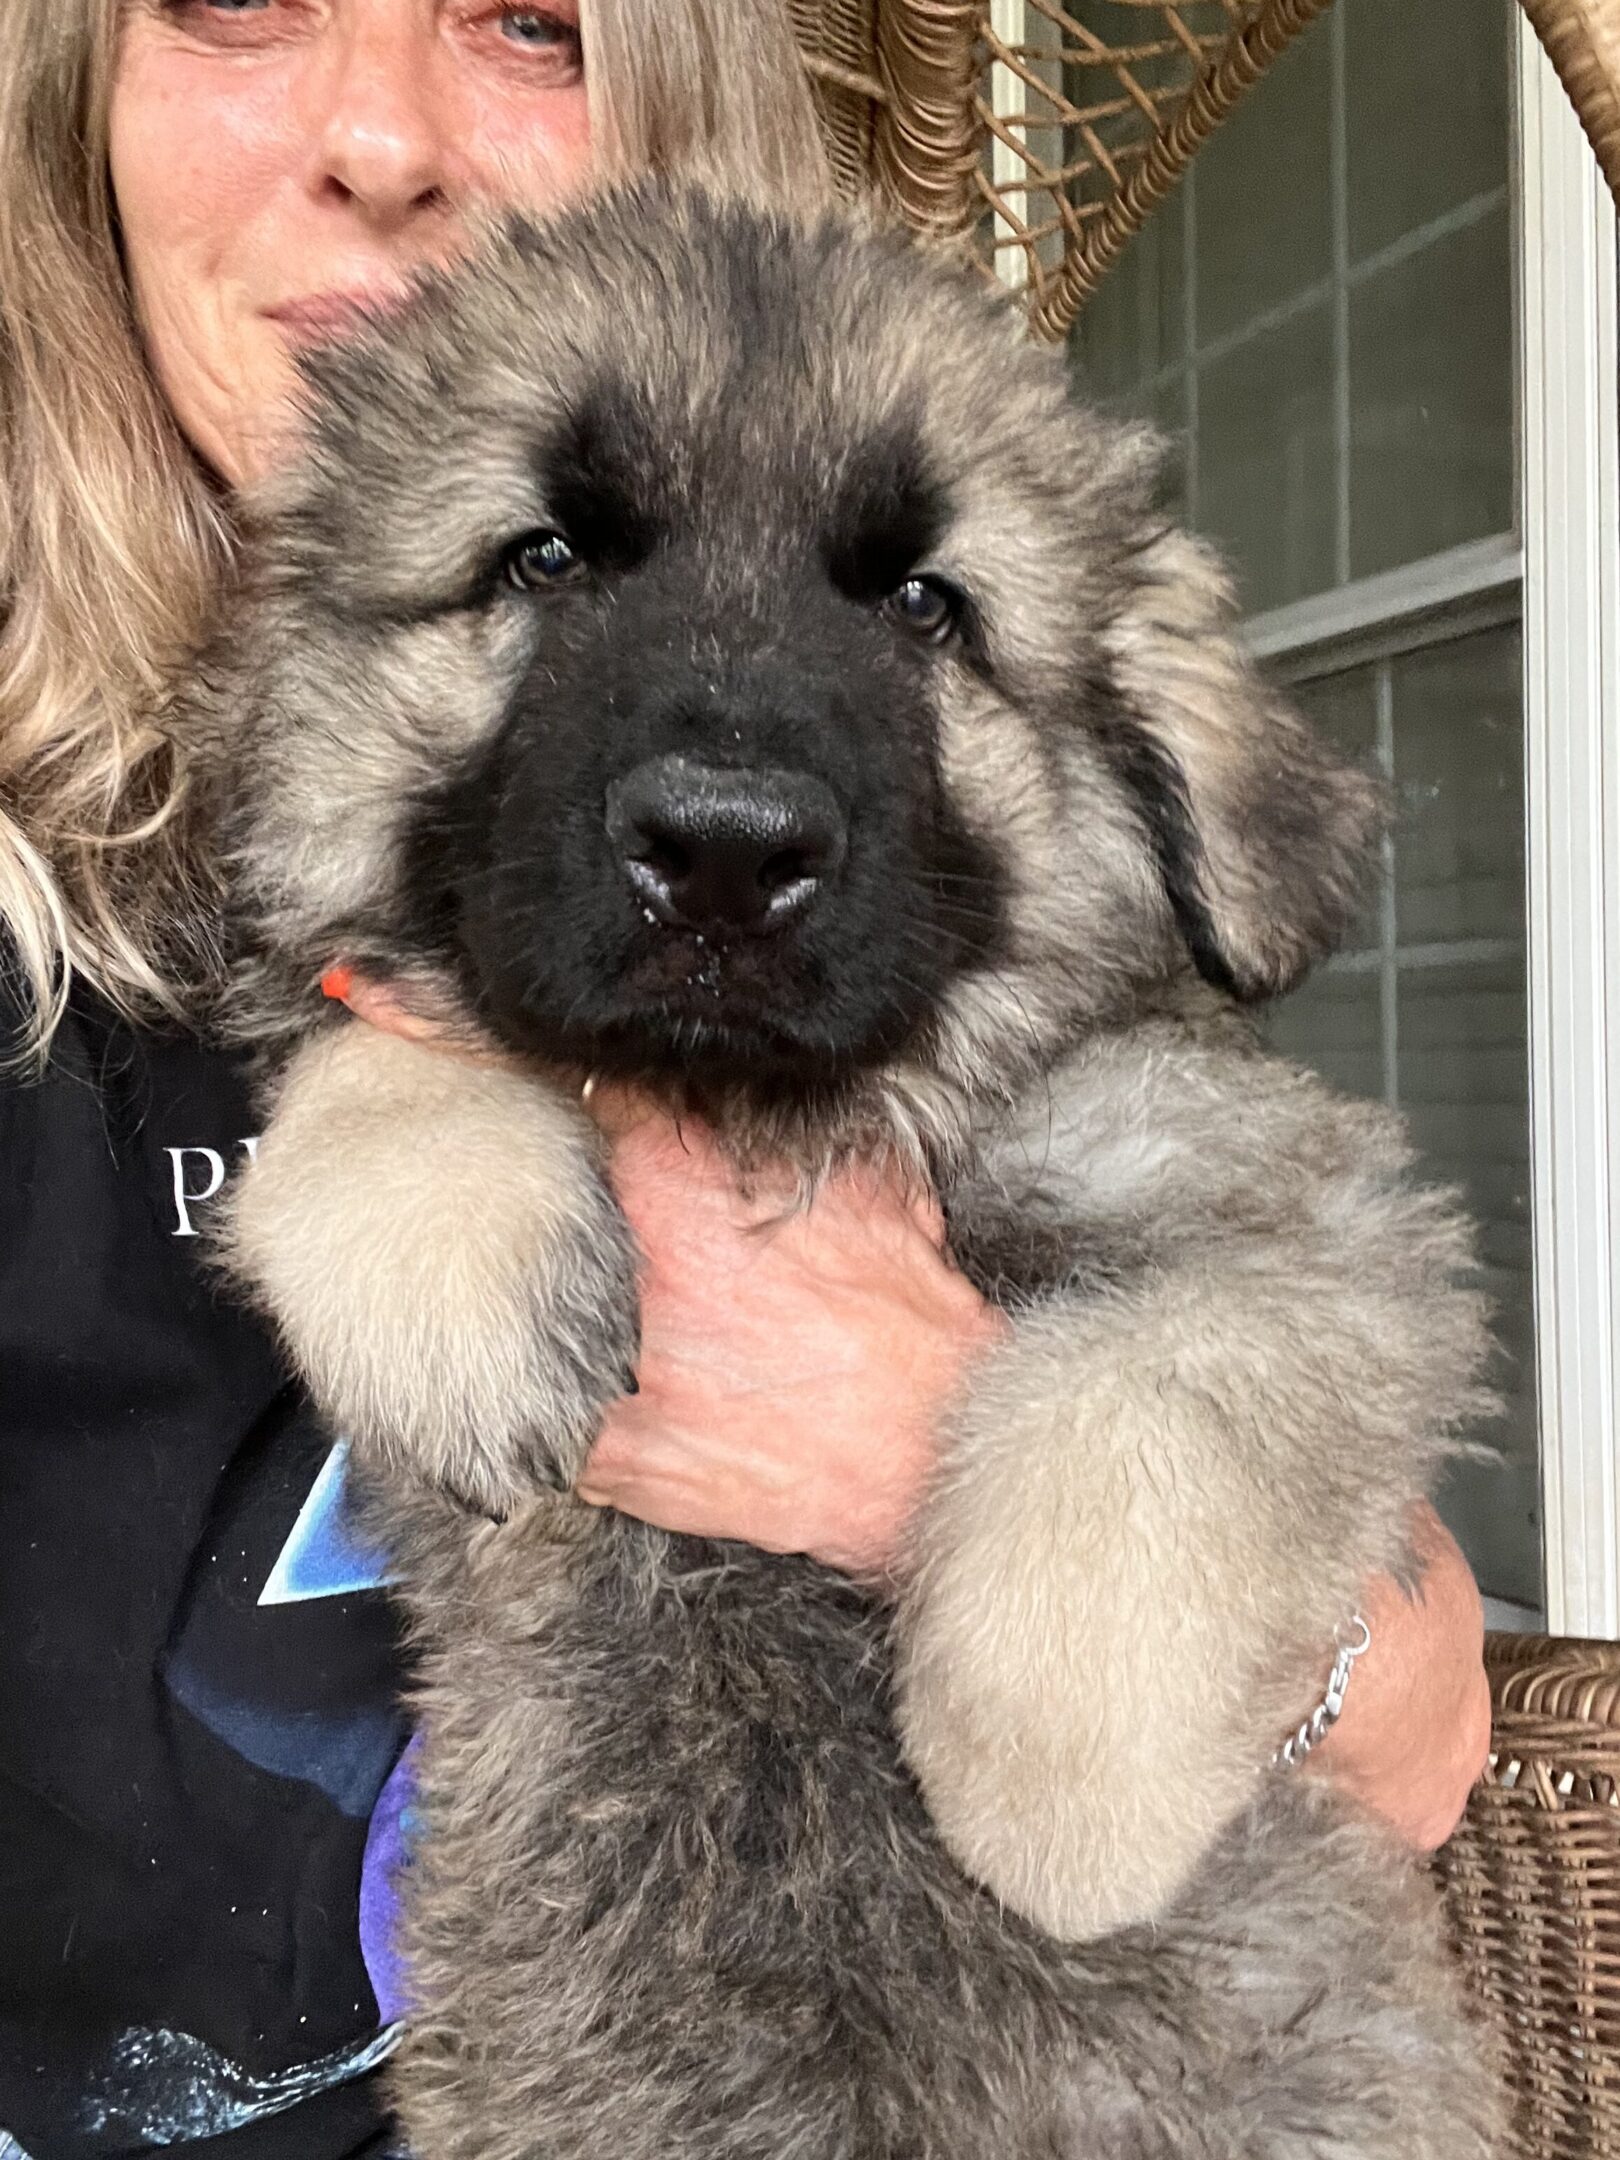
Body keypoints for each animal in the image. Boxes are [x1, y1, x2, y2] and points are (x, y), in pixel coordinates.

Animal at [183, 190, 1503, 2160]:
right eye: (544, 559)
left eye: (924, 605)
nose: (725, 852)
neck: (766, 1119)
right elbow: (368, 1072)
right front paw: (464, 1282)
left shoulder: (1302, 1210)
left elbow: (1149, 1414)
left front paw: (1059, 1815)